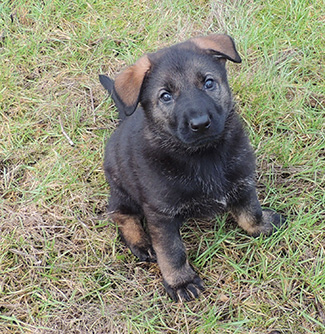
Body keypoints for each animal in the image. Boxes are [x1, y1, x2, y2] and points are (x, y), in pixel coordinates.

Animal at [98, 34, 284, 302]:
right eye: (165, 96)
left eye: (208, 83)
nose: (200, 124)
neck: (203, 156)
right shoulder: (161, 215)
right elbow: (172, 251)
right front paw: (180, 282)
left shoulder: (242, 181)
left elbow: (251, 211)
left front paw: (262, 226)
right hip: (122, 189)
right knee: (119, 214)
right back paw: (141, 242)